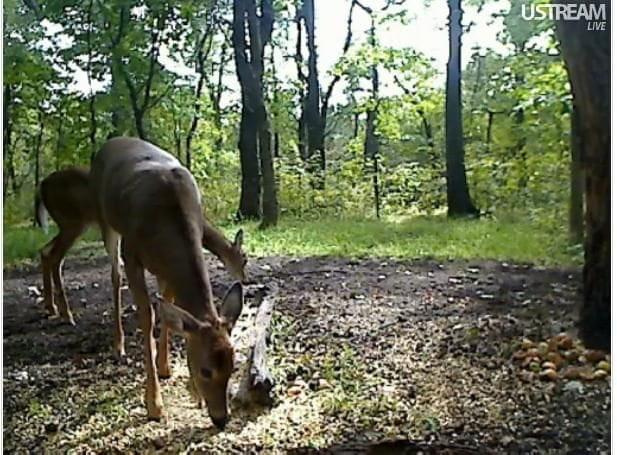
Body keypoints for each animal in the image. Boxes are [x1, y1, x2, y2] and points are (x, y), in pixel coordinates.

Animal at [35, 169, 247, 334]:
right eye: (244, 258)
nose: (244, 279)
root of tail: (42, 185)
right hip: (73, 221)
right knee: (55, 255)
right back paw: (66, 315)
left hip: (68, 224)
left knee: (45, 251)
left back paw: (52, 308)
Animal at [89, 137, 243, 430]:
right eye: (206, 370)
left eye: (233, 365)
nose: (221, 419)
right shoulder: (133, 252)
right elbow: (148, 317)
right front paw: (154, 405)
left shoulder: (167, 268)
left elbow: (168, 311)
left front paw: (168, 370)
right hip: (106, 222)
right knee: (115, 276)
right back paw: (118, 345)